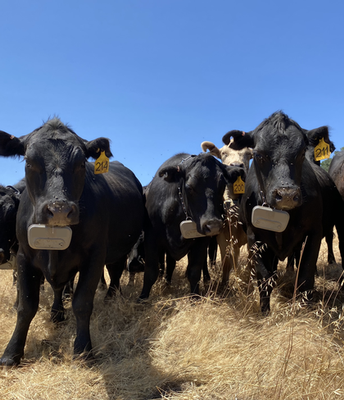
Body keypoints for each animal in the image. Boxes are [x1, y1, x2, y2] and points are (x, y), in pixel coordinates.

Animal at [0, 118, 145, 366]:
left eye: (81, 164)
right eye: (29, 161)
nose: (59, 209)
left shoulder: (95, 255)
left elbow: (82, 302)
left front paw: (83, 349)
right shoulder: (24, 256)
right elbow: (26, 306)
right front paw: (12, 353)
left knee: (115, 271)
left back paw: (111, 297)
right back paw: (58, 313)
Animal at [137, 153, 245, 300]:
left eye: (222, 185)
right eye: (189, 187)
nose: (213, 225)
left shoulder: (201, 241)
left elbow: (194, 270)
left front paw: (195, 296)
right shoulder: (151, 236)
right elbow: (151, 271)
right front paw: (143, 297)